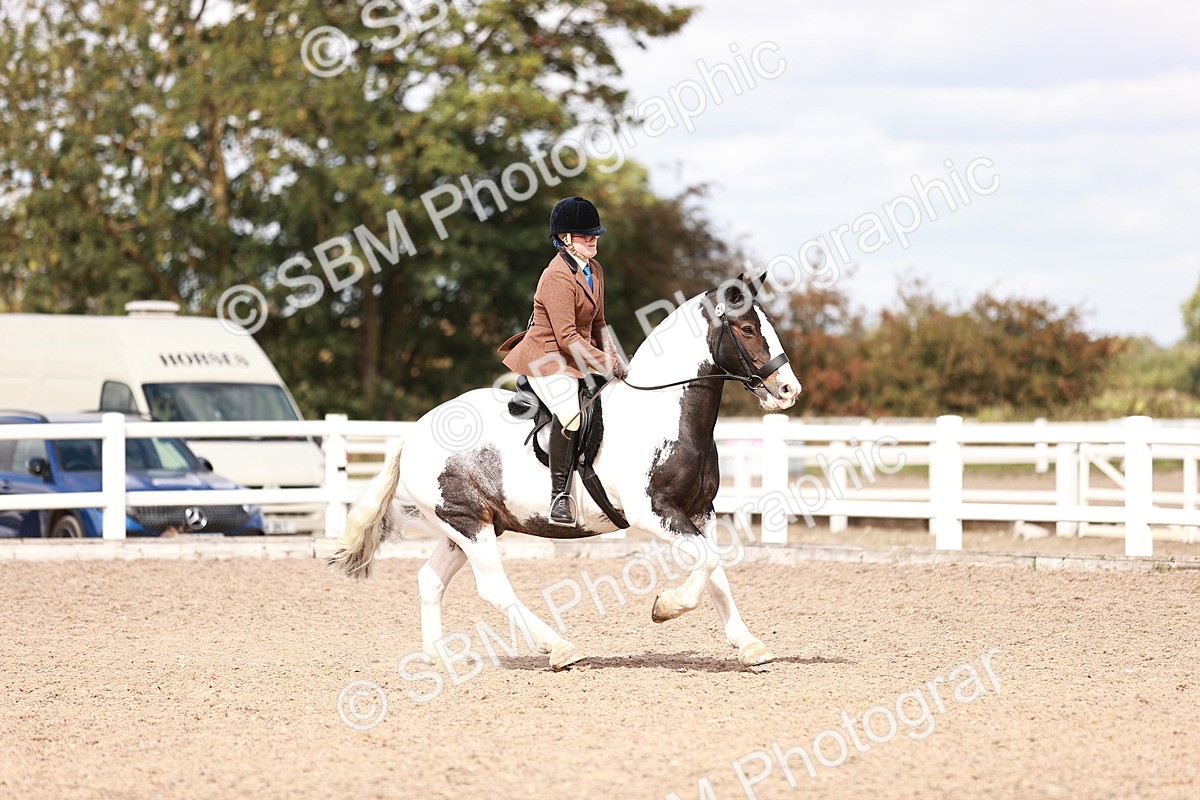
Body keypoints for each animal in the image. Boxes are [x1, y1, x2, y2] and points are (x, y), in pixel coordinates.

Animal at [326, 273, 802, 670]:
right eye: (748, 330)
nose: (788, 390)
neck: (666, 413)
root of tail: (413, 433)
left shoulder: (701, 511)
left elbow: (716, 569)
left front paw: (748, 644)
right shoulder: (653, 513)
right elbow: (708, 561)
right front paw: (666, 606)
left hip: (465, 527)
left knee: (430, 581)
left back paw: (439, 658)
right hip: (467, 524)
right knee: (493, 588)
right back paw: (558, 648)